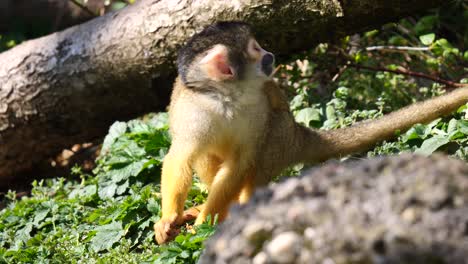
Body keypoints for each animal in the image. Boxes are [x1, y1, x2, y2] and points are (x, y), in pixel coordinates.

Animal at [154, 20, 468, 243]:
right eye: (255, 50)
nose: (269, 54)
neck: (226, 97)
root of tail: (297, 133)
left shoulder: (256, 107)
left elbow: (241, 161)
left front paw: (204, 221)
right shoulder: (194, 112)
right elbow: (180, 156)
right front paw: (169, 219)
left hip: (283, 136)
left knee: (273, 134)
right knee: (205, 150)